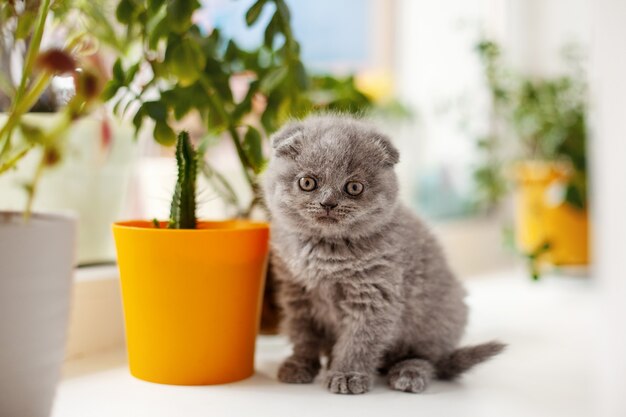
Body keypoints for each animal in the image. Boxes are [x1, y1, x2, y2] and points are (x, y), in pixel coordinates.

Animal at [258, 114, 502, 394]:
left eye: (354, 187)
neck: (325, 249)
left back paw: (408, 374)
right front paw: (300, 365)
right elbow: (302, 334)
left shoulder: (374, 294)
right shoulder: (296, 293)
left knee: (429, 358)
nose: (328, 203)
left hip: (439, 317)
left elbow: (359, 340)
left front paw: (347, 375)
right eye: (308, 182)